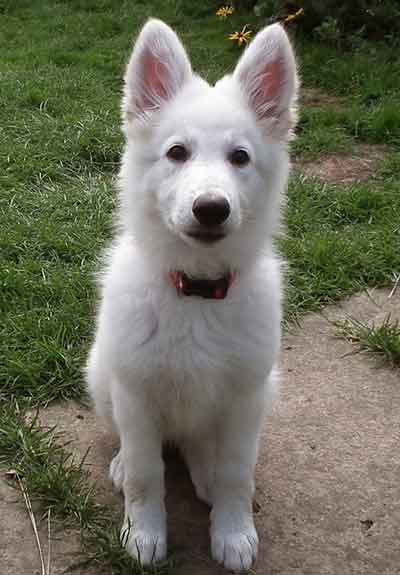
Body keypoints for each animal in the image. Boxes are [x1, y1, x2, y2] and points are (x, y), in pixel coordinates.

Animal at [86, 16, 296, 572]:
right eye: (176, 153)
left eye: (240, 157)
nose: (211, 208)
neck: (197, 292)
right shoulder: (135, 391)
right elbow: (146, 475)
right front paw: (144, 534)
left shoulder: (246, 396)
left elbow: (237, 475)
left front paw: (233, 532)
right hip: (101, 372)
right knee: (142, 445)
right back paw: (122, 464)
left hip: (264, 388)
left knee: (203, 443)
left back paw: (204, 471)